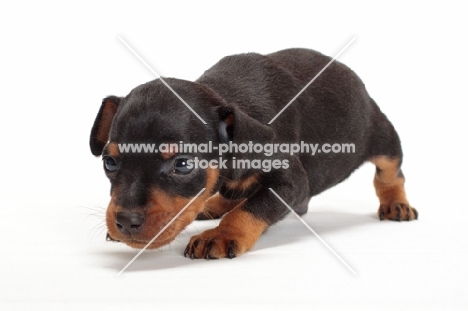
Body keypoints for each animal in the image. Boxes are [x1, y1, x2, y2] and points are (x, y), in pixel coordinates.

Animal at [89, 47, 418, 260]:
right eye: (110, 162)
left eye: (182, 165)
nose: (125, 222)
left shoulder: (292, 182)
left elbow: (255, 206)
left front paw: (221, 235)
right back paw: (215, 203)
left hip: (381, 135)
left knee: (390, 171)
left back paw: (396, 204)